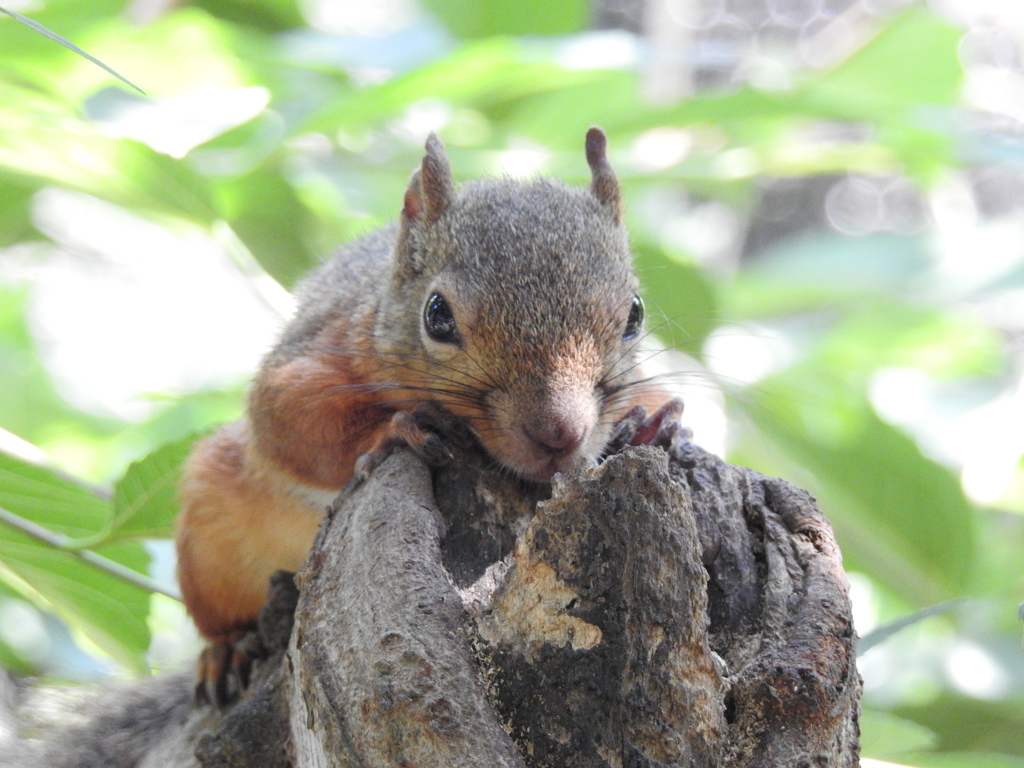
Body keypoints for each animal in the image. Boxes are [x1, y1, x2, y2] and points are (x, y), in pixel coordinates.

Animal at [175, 129, 684, 708]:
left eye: (635, 314)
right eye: (436, 315)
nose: (559, 432)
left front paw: (652, 422)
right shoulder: (317, 352)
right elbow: (292, 423)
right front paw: (403, 426)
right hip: (213, 528)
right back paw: (226, 650)